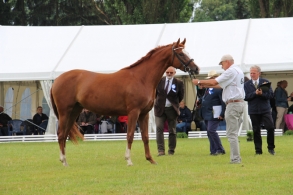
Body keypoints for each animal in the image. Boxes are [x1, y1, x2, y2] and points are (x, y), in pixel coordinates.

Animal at [50, 38, 198, 166]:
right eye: (181, 53)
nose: (196, 69)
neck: (141, 78)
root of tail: (57, 80)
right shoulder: (133, 112)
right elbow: (130, 135)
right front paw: (129, 160)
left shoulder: (144, 114)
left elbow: (145, 136)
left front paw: (150, 159)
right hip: (64, 112)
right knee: (61, 135)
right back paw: (64, 161)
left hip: (74, 112)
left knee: (65, 134)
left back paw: (65, 160)